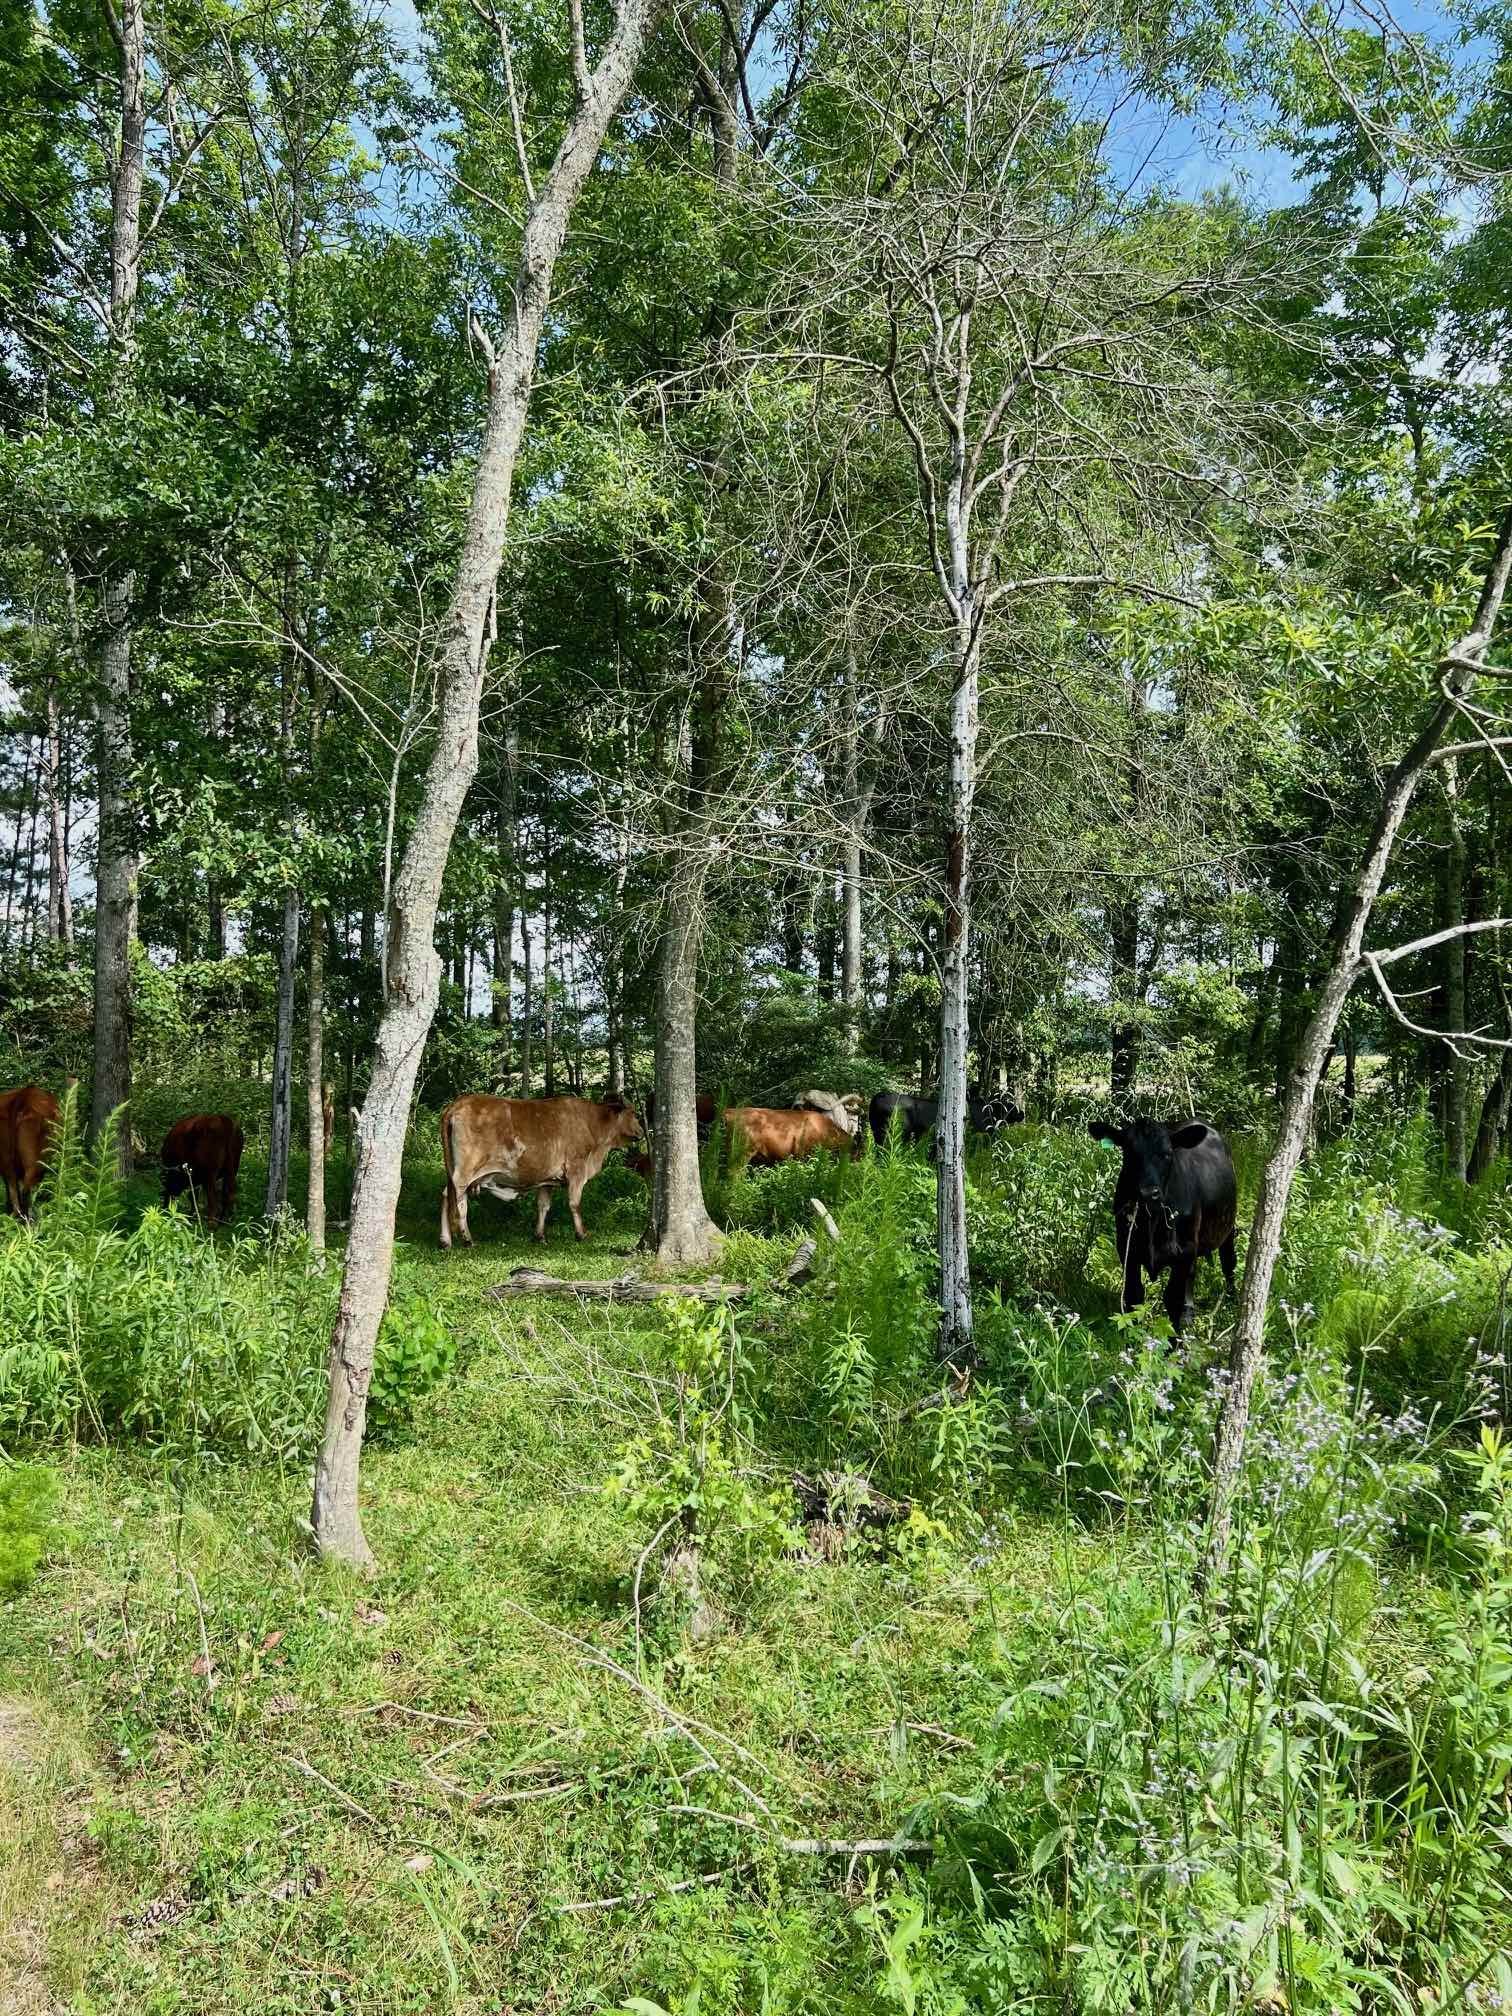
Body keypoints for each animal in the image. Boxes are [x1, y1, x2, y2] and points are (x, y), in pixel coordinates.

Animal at [440, 1093, 643, 1248]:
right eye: (634, 1113)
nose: (641, 1132)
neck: (592, 1125)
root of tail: (458, 1104)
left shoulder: (547, 1178)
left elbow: (543, 1206)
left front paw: (540, 1236)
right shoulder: (576, 1169)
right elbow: (575, 1203)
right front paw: (581, 1234)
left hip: (453, 1171)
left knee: (446, 1195)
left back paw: (445, 1241)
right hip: (465, 1170)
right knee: (459, 1200)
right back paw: (467, 1239)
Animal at [1088, 1118, 1238, 1333]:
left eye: (1167, 1154)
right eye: (1129, 1152)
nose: (1148, 1193)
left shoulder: (1184, 1250)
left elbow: (1173, 1299)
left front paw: (1175, 1340)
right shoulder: (1126, 1248)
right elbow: (1133, 1296)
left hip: (1227, 1228)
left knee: (1229, 1262)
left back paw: (1233, 1302)